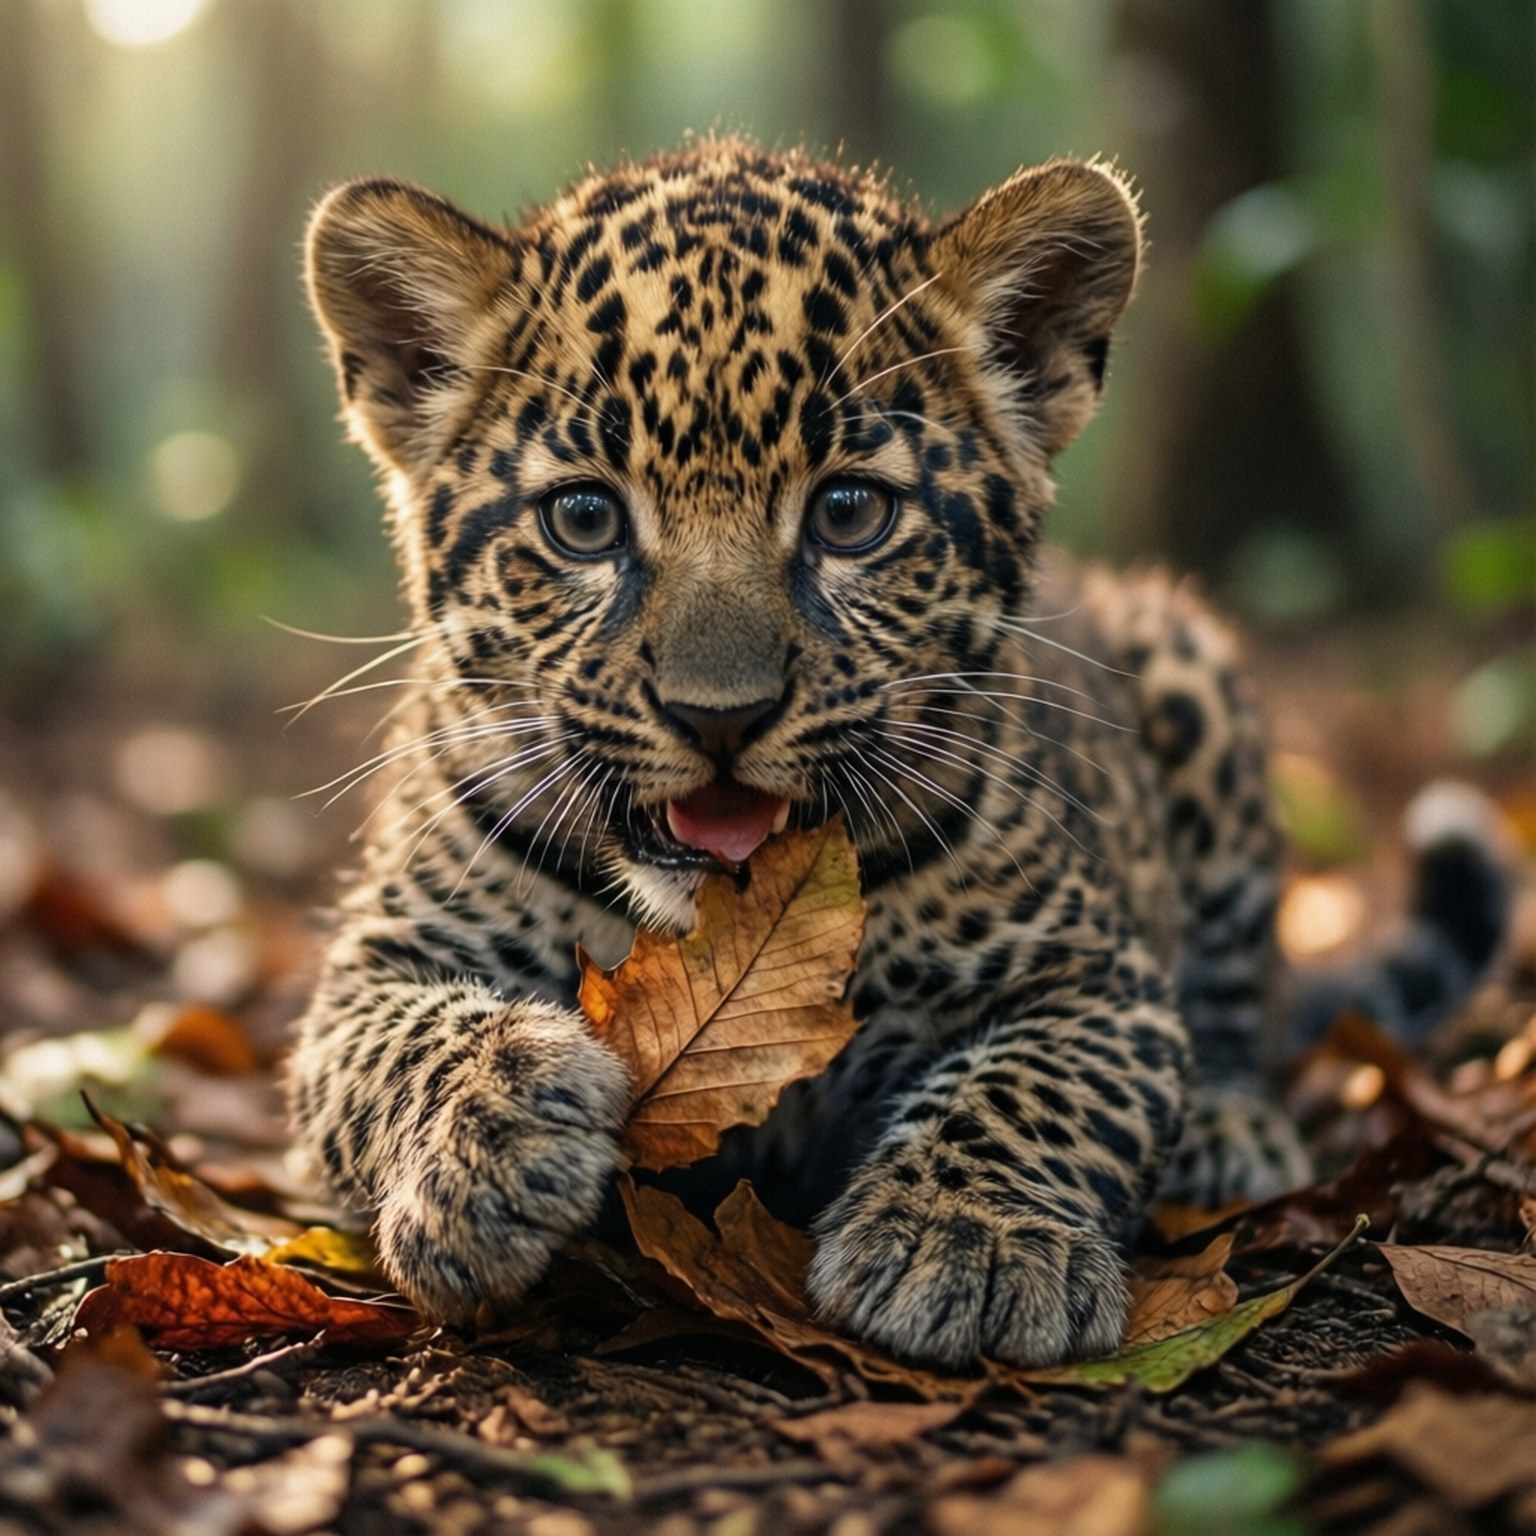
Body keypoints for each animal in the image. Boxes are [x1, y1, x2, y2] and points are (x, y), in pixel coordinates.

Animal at [288, 137, 1510, 1368]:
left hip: (1192, 675)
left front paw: (968, 1239)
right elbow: (410, 1041)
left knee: (1234, 993)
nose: (718, 717)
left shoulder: (1094, 978)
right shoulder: (371, 970)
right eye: (583, 519)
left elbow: (1035, 1087)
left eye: (849, 513)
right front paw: (492, 1137)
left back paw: (1227, 1130)